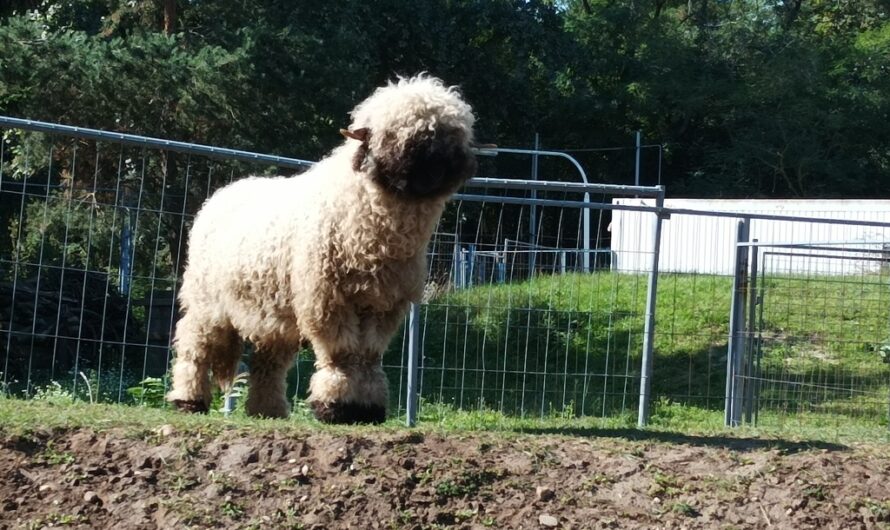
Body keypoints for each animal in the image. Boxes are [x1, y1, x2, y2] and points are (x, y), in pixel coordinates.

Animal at [162, 73, 476, 420]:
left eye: (455, 132)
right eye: (395, 133)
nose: (437, 165)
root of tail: (221, 195)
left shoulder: (382, 304)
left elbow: (368, 355)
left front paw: (366, 407)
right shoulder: (328, 299)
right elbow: (343, 353)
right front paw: (335, 405)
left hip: (274, 310)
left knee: (269, 363)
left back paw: (268, 410)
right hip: (207, 301)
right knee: (195, 345)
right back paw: (188, 399)